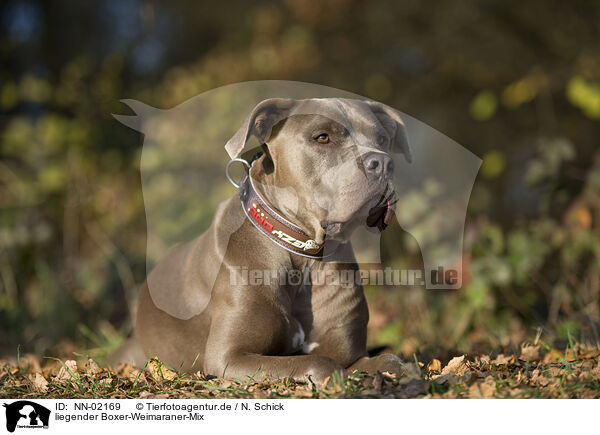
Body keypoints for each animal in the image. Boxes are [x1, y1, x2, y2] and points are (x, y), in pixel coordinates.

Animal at [111, 97, 412, 384]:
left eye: (382, 139)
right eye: (323, 137)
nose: (383, 163)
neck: (300, 252)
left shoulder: (350, 353)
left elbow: (390, 360)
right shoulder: (228, 357)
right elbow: (317, 362)